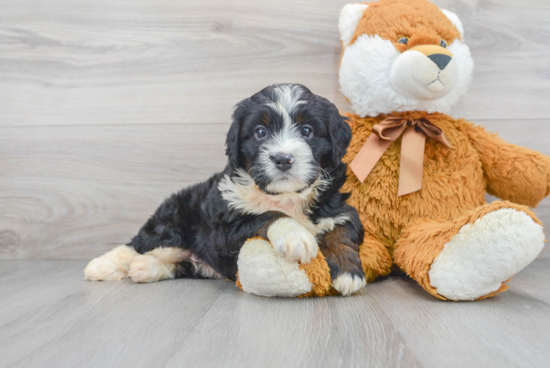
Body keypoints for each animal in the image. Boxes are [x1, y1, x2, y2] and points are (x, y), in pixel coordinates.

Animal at [84, 83, 368, 296]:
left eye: (307, 131)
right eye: (260, 132)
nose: (283, 159)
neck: (286, 196)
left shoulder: (338, 207)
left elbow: (342, 231)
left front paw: (348, 273)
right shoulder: (226, 227)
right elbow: (268, 215)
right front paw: (295, 236)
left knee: (177, 263)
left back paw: (145, 268)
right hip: (173, 221)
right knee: (138, 244)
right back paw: (101, 266)